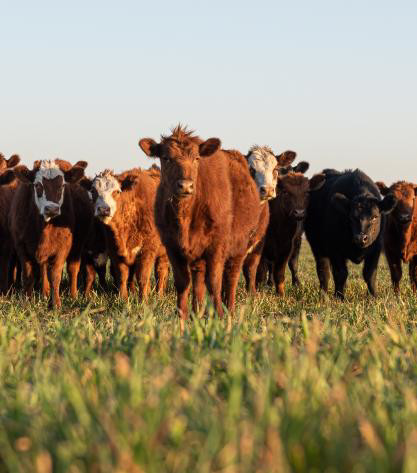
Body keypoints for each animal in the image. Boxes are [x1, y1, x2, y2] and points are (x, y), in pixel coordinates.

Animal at [10, 159, 84, 306]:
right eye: (38, 185)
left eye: (62, 186)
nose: (52, 209)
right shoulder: (21, 246)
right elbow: (28, 275)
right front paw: (26, 301)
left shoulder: (63, 247)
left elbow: (55, 275)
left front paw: (55, 304)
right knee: (43, 269)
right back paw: (44, 293)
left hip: (77, 248)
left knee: (73, 270)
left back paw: (73, 296)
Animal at [79, 168, 167, 296]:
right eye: (93, 191)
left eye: (117, 191)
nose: (104, 209)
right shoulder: (115, 251)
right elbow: (122, 276)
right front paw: (123, 298)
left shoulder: (147, 250)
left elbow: (143, 277)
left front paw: (143, 299)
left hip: (164, 253)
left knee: (161, 272)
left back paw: (159, 294)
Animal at [139, 125, 260, 318]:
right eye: (166, 158)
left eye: (196, 158)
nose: (186, 185)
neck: (185, 216)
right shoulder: (172, 247)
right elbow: (183, 283)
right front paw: (182, 317)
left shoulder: (217, 246)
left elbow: (215, 283)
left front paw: (219, 316)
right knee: (198, 280)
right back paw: (197, 312)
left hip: (239, 247)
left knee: (231, 277)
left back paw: (230, 311)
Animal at [302, 168, 396, 296]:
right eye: (351, 217)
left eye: (375, 217)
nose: (361, 238)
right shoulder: (335, 249)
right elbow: (340, 274)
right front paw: (339, 297)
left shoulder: (375, 249)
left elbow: (370, 274)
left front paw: (374, 296)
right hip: (317, 246)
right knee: (323, 271)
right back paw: (323, 295)